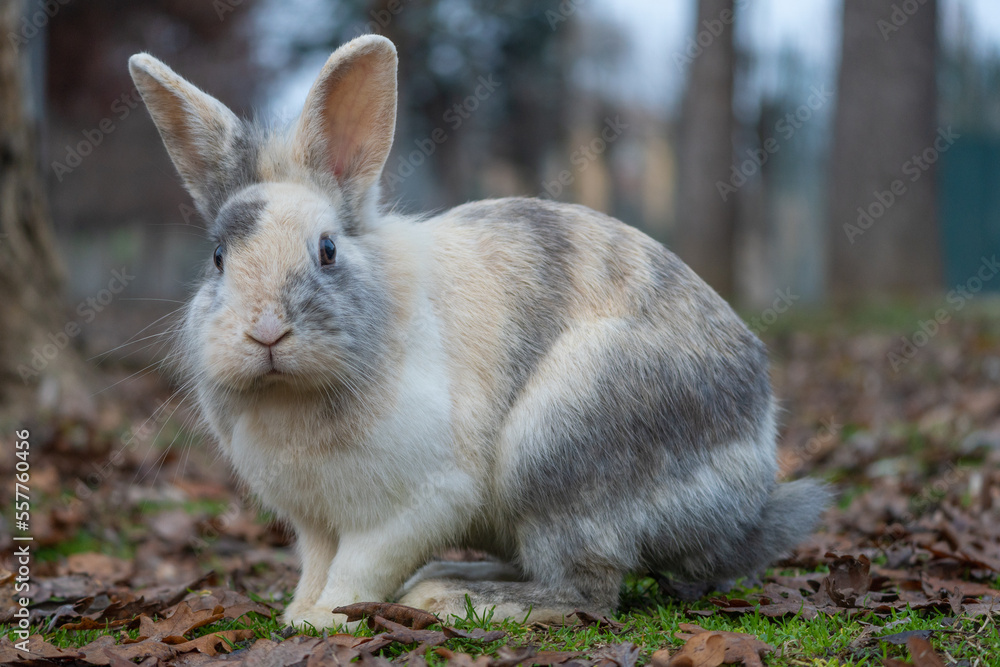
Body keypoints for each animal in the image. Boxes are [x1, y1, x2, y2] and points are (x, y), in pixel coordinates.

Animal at [128, 34, 830, 630]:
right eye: (218, 257)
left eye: (326, 250)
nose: (267, 331)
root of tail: (746, 501)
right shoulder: (315, 524)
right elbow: (318, 565)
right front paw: (300, 614)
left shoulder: (420, 502)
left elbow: (360, 567)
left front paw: (328, 619)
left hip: (559, 454)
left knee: (585, 592)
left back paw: (449, 598)